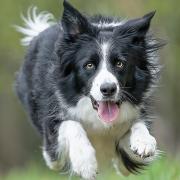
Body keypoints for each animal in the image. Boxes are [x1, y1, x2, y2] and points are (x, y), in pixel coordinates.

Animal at [15, 0, 163, 179]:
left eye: (120, 63)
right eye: (89, 65)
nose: (108, 89)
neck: (100, 121)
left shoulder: (127, 154)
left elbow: (136, 127)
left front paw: (144, 141)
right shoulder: (52, 139)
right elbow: (71, 125)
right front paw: (85, 162)